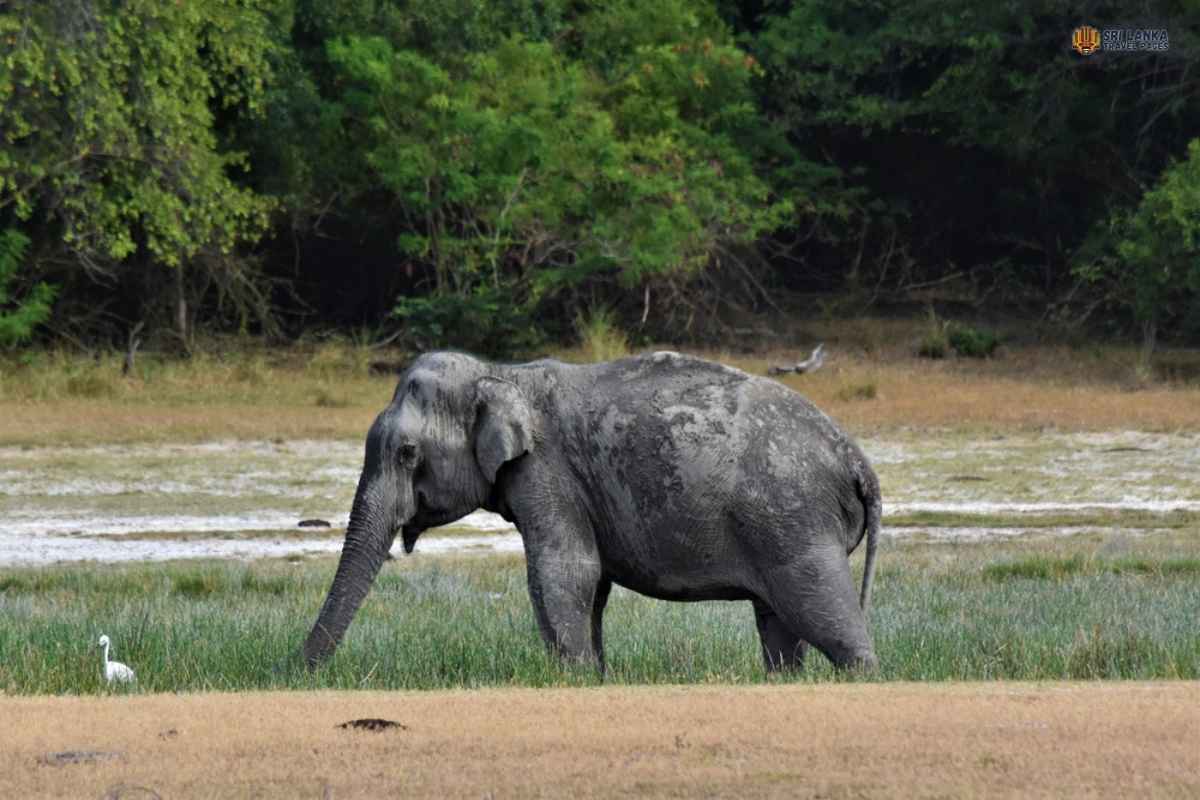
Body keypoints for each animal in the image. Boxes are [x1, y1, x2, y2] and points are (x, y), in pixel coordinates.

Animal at [300, 352, 883, 671]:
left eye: (406, 453)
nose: (298, 672)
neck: (501, 373)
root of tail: (857, 459)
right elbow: (593, 583)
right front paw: (595, 676)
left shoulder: (546, 470)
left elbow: (564, 573)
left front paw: (574, 678)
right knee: (780, 625)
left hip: (794, 521)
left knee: (823, 615)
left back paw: (864, 675)